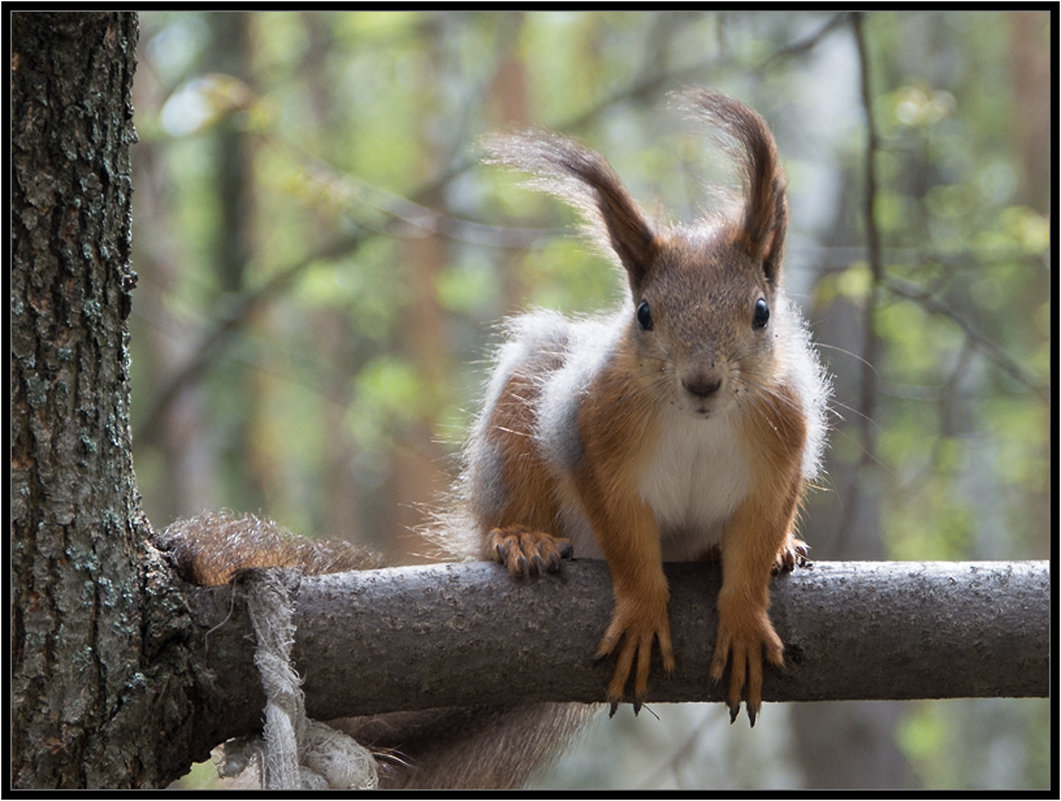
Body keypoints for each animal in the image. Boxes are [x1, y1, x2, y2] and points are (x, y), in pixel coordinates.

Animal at [454, 87, 827, 725]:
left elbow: (754, 546)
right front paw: (644, 614)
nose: (701, 382)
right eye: (644, 314)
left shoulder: (782, 448)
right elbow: (627, 543)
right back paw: (522, 537)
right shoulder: (594, 435)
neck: (699, 424)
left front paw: (746, 618)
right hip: (516, 427)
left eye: (761, 311)